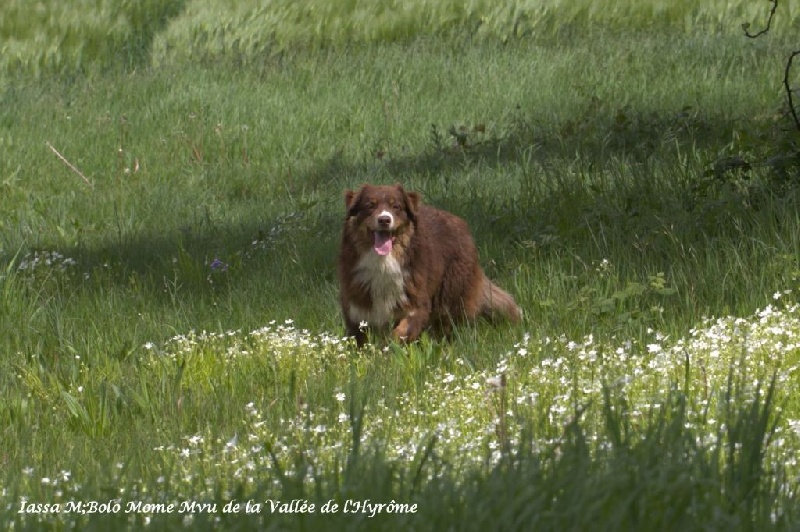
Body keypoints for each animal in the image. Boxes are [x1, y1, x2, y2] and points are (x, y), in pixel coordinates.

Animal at [336, 183, 520, 344]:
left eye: (396, 206)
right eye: (370, 205)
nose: (384, 220)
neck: (383, 263)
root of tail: (459, 222)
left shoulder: (415, 303)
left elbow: (400, 333)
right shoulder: (357, 310)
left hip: (450, 296)